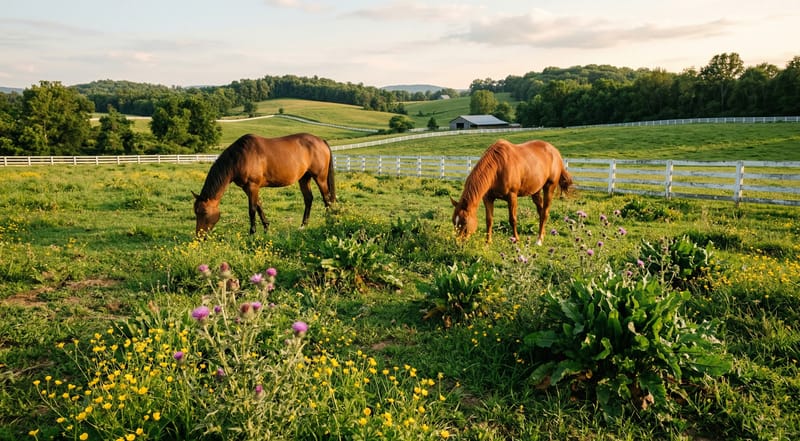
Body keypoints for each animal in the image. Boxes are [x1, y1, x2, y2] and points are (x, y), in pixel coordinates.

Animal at [193, 132, 336, 235]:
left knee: (327, 199)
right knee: (308, 199)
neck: (240, 157)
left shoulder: (252, 186)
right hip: (304, 178)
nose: (199, 236)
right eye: (196, 212)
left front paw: (252, 232)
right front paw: (266, 227)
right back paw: (303, 226)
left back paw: (328, 222)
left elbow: (252, 209)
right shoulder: (247, 188)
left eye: (204, 212)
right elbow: (259, 205)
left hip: (320, 178)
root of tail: (321, 141)